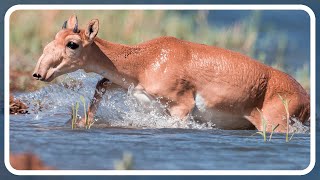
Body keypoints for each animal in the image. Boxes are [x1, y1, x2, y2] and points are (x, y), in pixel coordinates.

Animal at [33, 15, 310, 132]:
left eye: (72, 44)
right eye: (55, 36)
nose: (38, 73)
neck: (147, 60)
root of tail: (304, 96)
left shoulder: (181, 107)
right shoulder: (128, 86)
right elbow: (101, 82)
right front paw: (83, 121)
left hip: (274, 124)